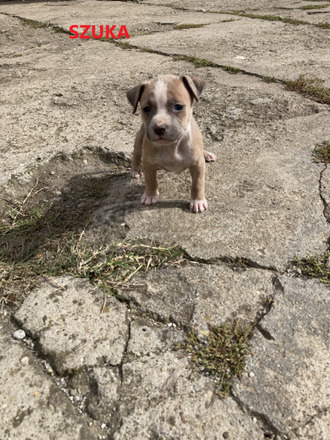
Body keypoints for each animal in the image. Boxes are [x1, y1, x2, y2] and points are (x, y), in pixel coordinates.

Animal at [125, 75, 215, 212]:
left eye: (178, 107)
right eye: (146, 109)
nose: (159, 128)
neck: (172, 145)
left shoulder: (197, 164)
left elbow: (198, 183)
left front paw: (197, 201)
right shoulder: (148, 163)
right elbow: (150, 180)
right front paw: (150, 195)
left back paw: (206, 154)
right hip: (140, 137)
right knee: (136, 153)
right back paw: (135, 170)